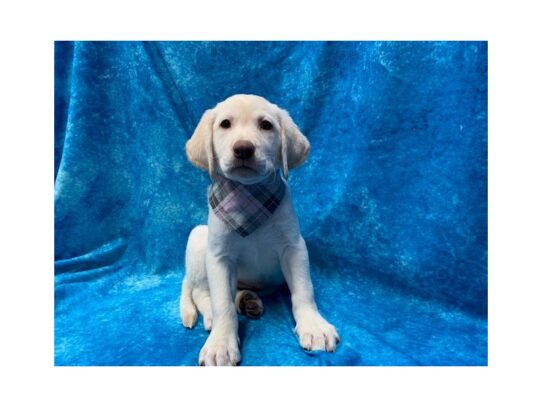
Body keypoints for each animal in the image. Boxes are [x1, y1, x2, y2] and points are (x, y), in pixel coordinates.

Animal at [181, 95, 338, 366]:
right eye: (225, 124)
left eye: (266, 125)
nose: (243, 148)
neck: (249, 195)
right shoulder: (219, 257)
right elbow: (222, 303)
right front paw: (221, 344)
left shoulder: (293, 247)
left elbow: (303, 290)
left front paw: (313, 326)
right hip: (199, 240)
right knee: (203, 292)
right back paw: (212, 316)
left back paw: (247, 300)